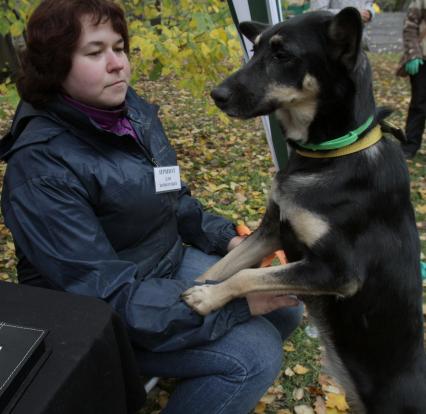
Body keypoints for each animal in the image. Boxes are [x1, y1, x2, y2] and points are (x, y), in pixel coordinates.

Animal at [182, 7, 426, 414]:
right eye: (255, 48)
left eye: (283, 55)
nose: (216, 95)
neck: (328, 155)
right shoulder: (271, 232)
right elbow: (223, 267)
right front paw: (197, 289)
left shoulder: (338, 271)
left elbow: (245, 276)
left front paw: (207, 299)